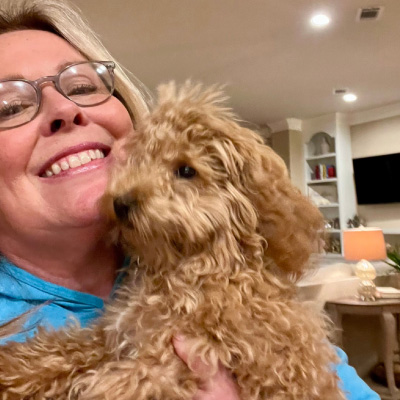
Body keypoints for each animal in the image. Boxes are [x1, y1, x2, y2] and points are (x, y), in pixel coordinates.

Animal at [0, 82, 344, 400]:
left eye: (186, 170)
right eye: (140, 160)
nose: (120, 203)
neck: (188, 266)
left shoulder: (185, 356)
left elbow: (122, 384)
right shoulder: (119, 332)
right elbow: (68, 347)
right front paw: (14, 366)